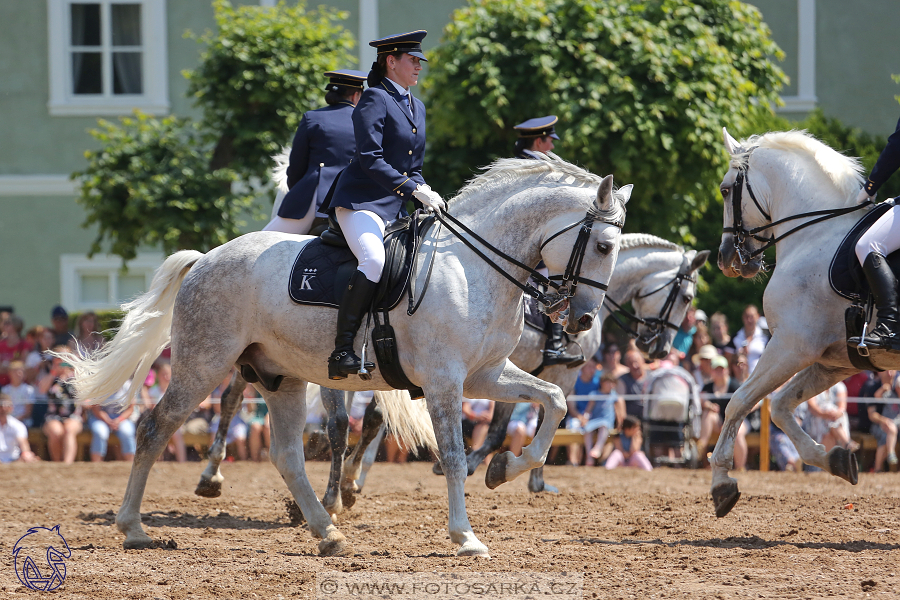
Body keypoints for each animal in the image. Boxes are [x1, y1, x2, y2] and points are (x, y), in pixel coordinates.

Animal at [65, 156, 624, 556]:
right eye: (603, 245)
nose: (582, 321)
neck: (471, 267)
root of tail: (207, 258)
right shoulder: (445, 380)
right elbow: (452, 452)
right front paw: (465, 536)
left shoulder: (486, 374)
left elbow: (553, 401)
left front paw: (505, 468)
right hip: (203, 364)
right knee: (155, 428)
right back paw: (135, 527)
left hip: (280, 378)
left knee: (286, 454)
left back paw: (326, 532)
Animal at [712, 129, 872, 516]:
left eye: (724, 190)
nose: (724, 258)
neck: (818, 233)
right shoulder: (837, 360)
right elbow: (782, 406)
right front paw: (834, 459)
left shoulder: (790, 345)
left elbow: (739, 401)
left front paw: (721, 482)